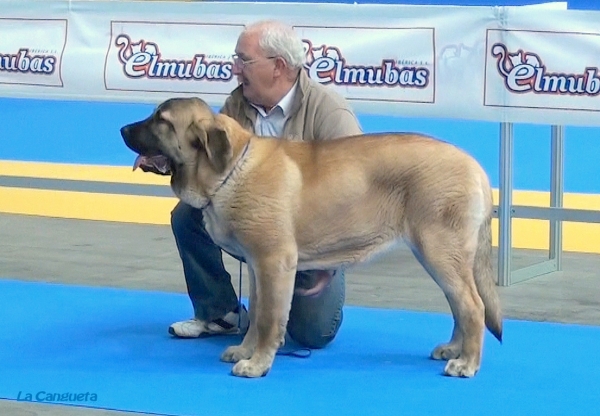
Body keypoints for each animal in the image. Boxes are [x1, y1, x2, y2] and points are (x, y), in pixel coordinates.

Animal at [120, 99, 502, 378]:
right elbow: (256, 314)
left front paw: (258, 364)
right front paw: (245, 350)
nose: (122, 128)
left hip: (439, 250)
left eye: (161, 121)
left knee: (473, 306)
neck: (230, 171)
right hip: (438, 256)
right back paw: (454, 349)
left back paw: (467, 363)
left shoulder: (274, 264)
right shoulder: (258, 268)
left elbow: (269, 318)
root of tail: (476, 166)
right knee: (460, 304)